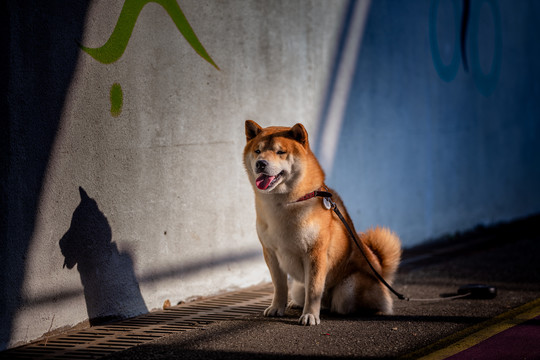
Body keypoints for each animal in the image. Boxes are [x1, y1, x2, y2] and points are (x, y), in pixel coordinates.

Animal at [244, 121, 400, 326]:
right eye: (257, 151)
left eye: (280, 152)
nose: (261, 163)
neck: (284, 203)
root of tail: (380, 273)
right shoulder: (270, 252)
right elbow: (279, 286)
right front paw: (277, 307)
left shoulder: (316, 252)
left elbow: (313, 289)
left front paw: (310, 315)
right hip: (298, 287)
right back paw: (297, 304)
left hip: (347, 289)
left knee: (343, 303)